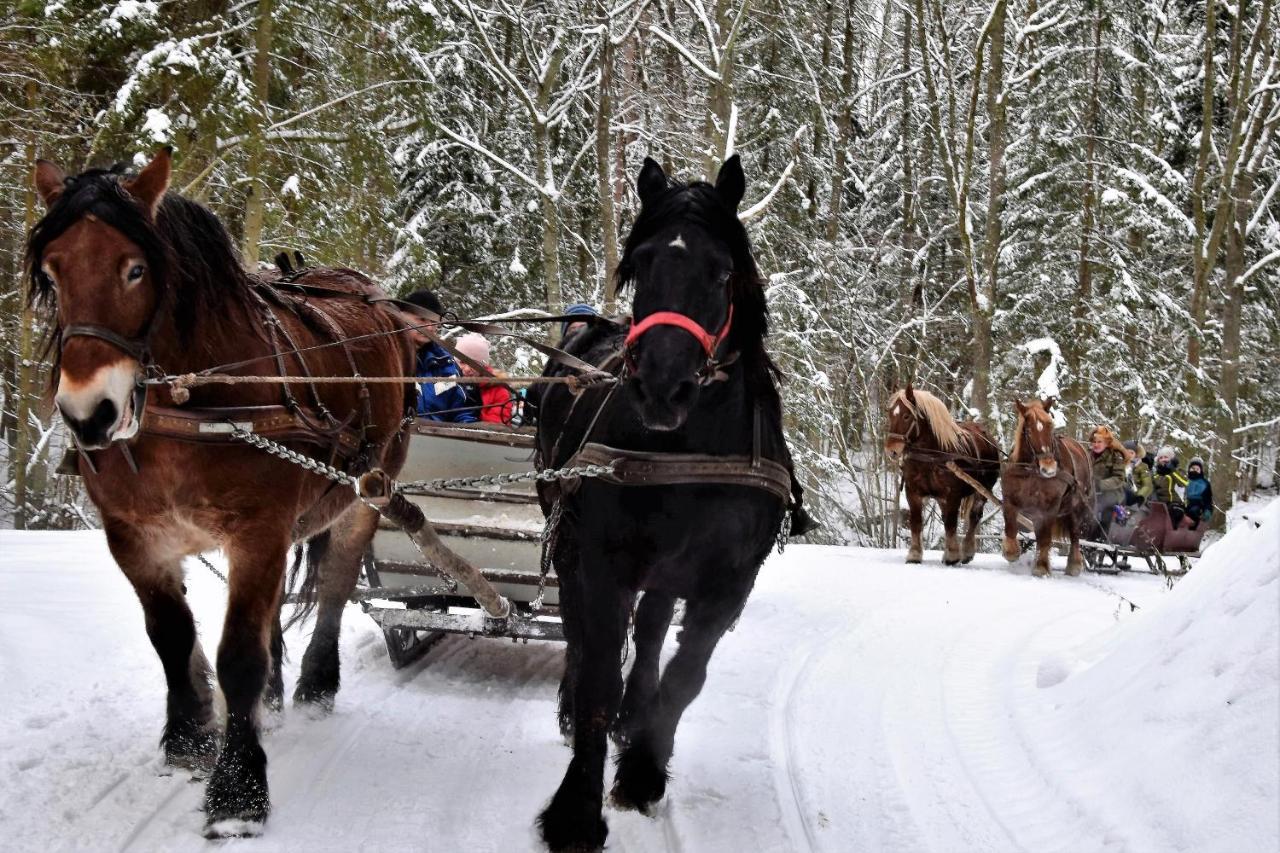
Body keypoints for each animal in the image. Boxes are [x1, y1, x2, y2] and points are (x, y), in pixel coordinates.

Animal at [24, 149, 412, 835]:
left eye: (135, 268)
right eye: (52, 270)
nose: (88, 415)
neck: (185, 402)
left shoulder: (258, 530)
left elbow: (238, 656)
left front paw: (237, 791)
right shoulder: (134, 536)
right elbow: (172, 636)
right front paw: (189, 736)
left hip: (367, 492)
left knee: (336, 587)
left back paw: (316, 685)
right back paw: (275, 697)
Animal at [529, 156, 808, 845]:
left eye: (722, 271)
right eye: (641, 263)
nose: (661, 387)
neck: (690, 450)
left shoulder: (729, 582)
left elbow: (687, 677)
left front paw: (643, 770)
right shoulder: (602, 564)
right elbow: (599, 675)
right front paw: (576, 808)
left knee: (654, 626)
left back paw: (638, 715)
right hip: (567, 538)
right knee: (579, 633)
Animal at [885, 384, 1003, 563]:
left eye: (906, 416)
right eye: (891, 414)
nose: (891, 450)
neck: (930, 457)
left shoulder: (952, 494)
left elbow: (951, 524)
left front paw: (953, 556)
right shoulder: (913, 492)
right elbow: (916, 523)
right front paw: (914, 554)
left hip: (983, 490)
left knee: (974, 517)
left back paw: (967, 551)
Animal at [998, 397, 1090, 571]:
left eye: (1050, 426)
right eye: (1028, 431)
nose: (1049, 467)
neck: (1030, 471)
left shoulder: (1050, 506)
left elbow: (1045, 538)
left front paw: (1041, 566)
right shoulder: (1009, 499)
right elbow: (1011, 529)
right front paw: (1011, 551)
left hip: (1077, 506)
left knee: (1075, 533)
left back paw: (1074, 564)